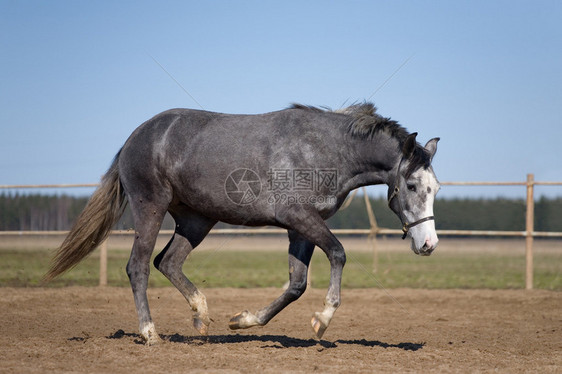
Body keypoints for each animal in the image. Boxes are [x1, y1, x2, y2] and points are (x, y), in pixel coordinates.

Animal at [44, 102, 438, 344]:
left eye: (435, 188)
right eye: (412, 186)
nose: (428, 244)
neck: (324, 150)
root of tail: (134, 137)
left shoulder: (301, 226)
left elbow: (296, 284)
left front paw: (243, 320)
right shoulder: (298, 217)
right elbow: (338, 254)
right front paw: (321, 320)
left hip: (197, 219)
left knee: (166, 262)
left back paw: (202, 317)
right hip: (150, 208)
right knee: (138, 266)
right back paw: (150, 333)